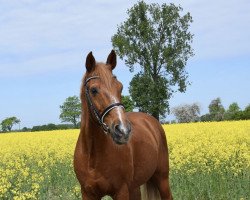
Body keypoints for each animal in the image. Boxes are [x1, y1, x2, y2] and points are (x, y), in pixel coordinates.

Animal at [73, 50, 173, 200]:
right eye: (94, 90)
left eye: (120, 87)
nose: (123, 130)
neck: (92, 156)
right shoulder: (88, 194)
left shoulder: (121, 191)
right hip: (135, 187)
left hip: (162, 180)